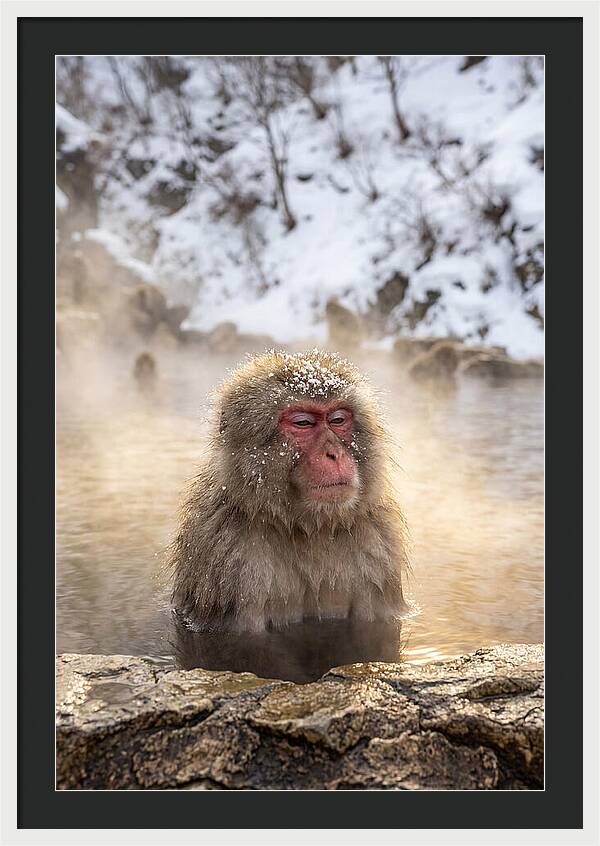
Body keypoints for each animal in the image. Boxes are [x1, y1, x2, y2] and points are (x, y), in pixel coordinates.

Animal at [170, 349, 410, 633]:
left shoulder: (378, 548)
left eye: (338, 419)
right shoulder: (228, 559)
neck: (309, 529)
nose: (334, 454)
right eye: (303, 423)